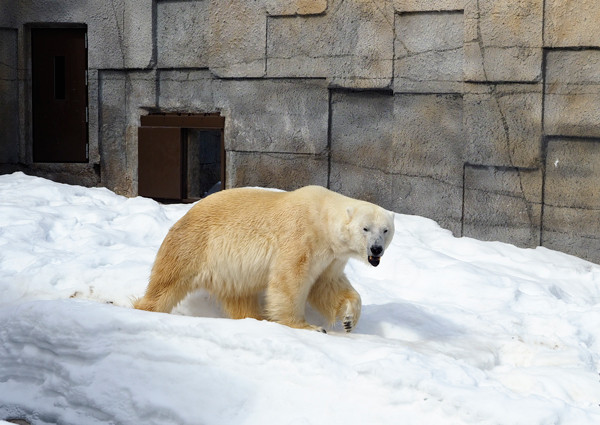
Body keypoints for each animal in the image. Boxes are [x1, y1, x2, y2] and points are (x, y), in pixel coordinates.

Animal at [137, 186, 398, 332]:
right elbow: (290, 279)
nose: (376, 249)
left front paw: (348, 319)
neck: (323, 218)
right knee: (167, 284)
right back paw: (145, 308)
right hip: (194, 246)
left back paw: (255, 319)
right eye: (365, 228)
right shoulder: (301, 236)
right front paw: (308, 327)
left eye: (385, 230)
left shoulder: (331, 258)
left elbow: (328, 285)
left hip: (229, 272)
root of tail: (183, 216)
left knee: (240, 298)